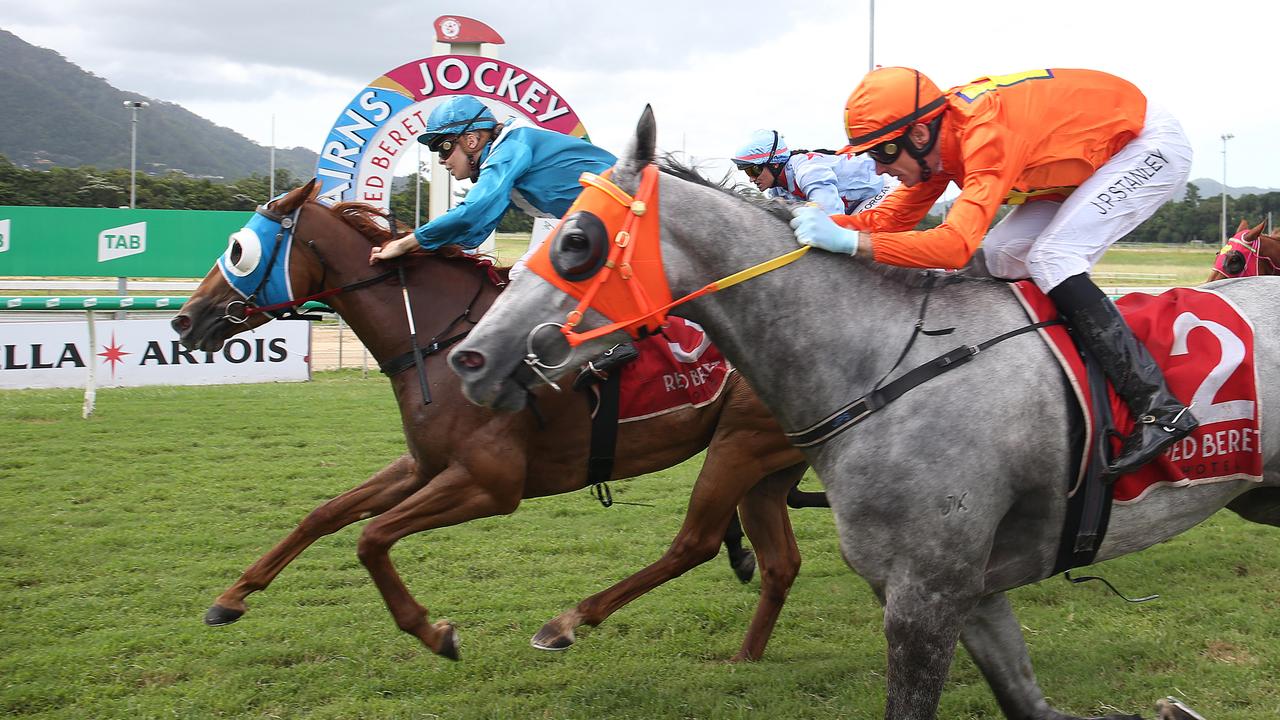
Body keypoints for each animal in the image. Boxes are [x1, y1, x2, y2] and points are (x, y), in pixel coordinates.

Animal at [171, 180, 808, 661]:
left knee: (694, 544)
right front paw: (231, 597)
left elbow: (371, 538)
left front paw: (434, 633)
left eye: (238, 251)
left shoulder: (491, 483)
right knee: (780, 563)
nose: (184, 320)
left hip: (739, 444)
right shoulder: (425, 463)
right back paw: (744, 657)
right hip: (768, 463)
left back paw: (566, 622)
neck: (440, 340)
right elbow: (325, 514)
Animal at [445, 107, 1274, 717]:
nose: (471, 358)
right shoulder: (967, 595)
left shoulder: (926, 596)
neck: (884, 363)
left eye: (577, 241)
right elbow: (1030, 703)